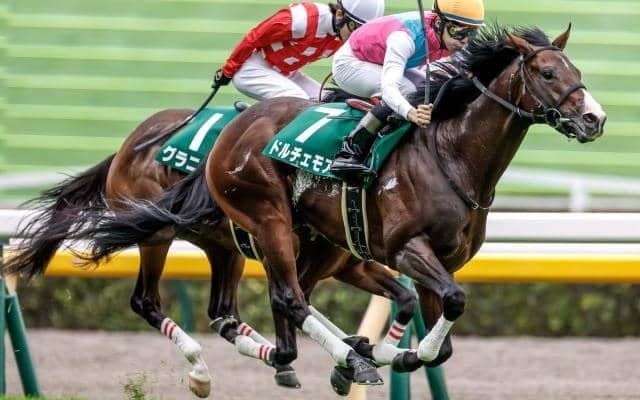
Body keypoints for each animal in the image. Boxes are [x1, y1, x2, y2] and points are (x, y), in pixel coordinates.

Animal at [201, 23, 606, 379]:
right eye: (548, 73)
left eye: (576, 71)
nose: (595, 119)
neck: (452, 157)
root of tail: (232, 127)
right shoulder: (406, 249)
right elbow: (455, 300)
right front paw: (386, 352)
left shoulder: (442, 261)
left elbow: (442, 346)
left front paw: (394, 353)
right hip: (269, 218)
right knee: (290, 296)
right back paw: (347, 359)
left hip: (319, 240)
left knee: (290, 294)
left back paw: (307, 356)